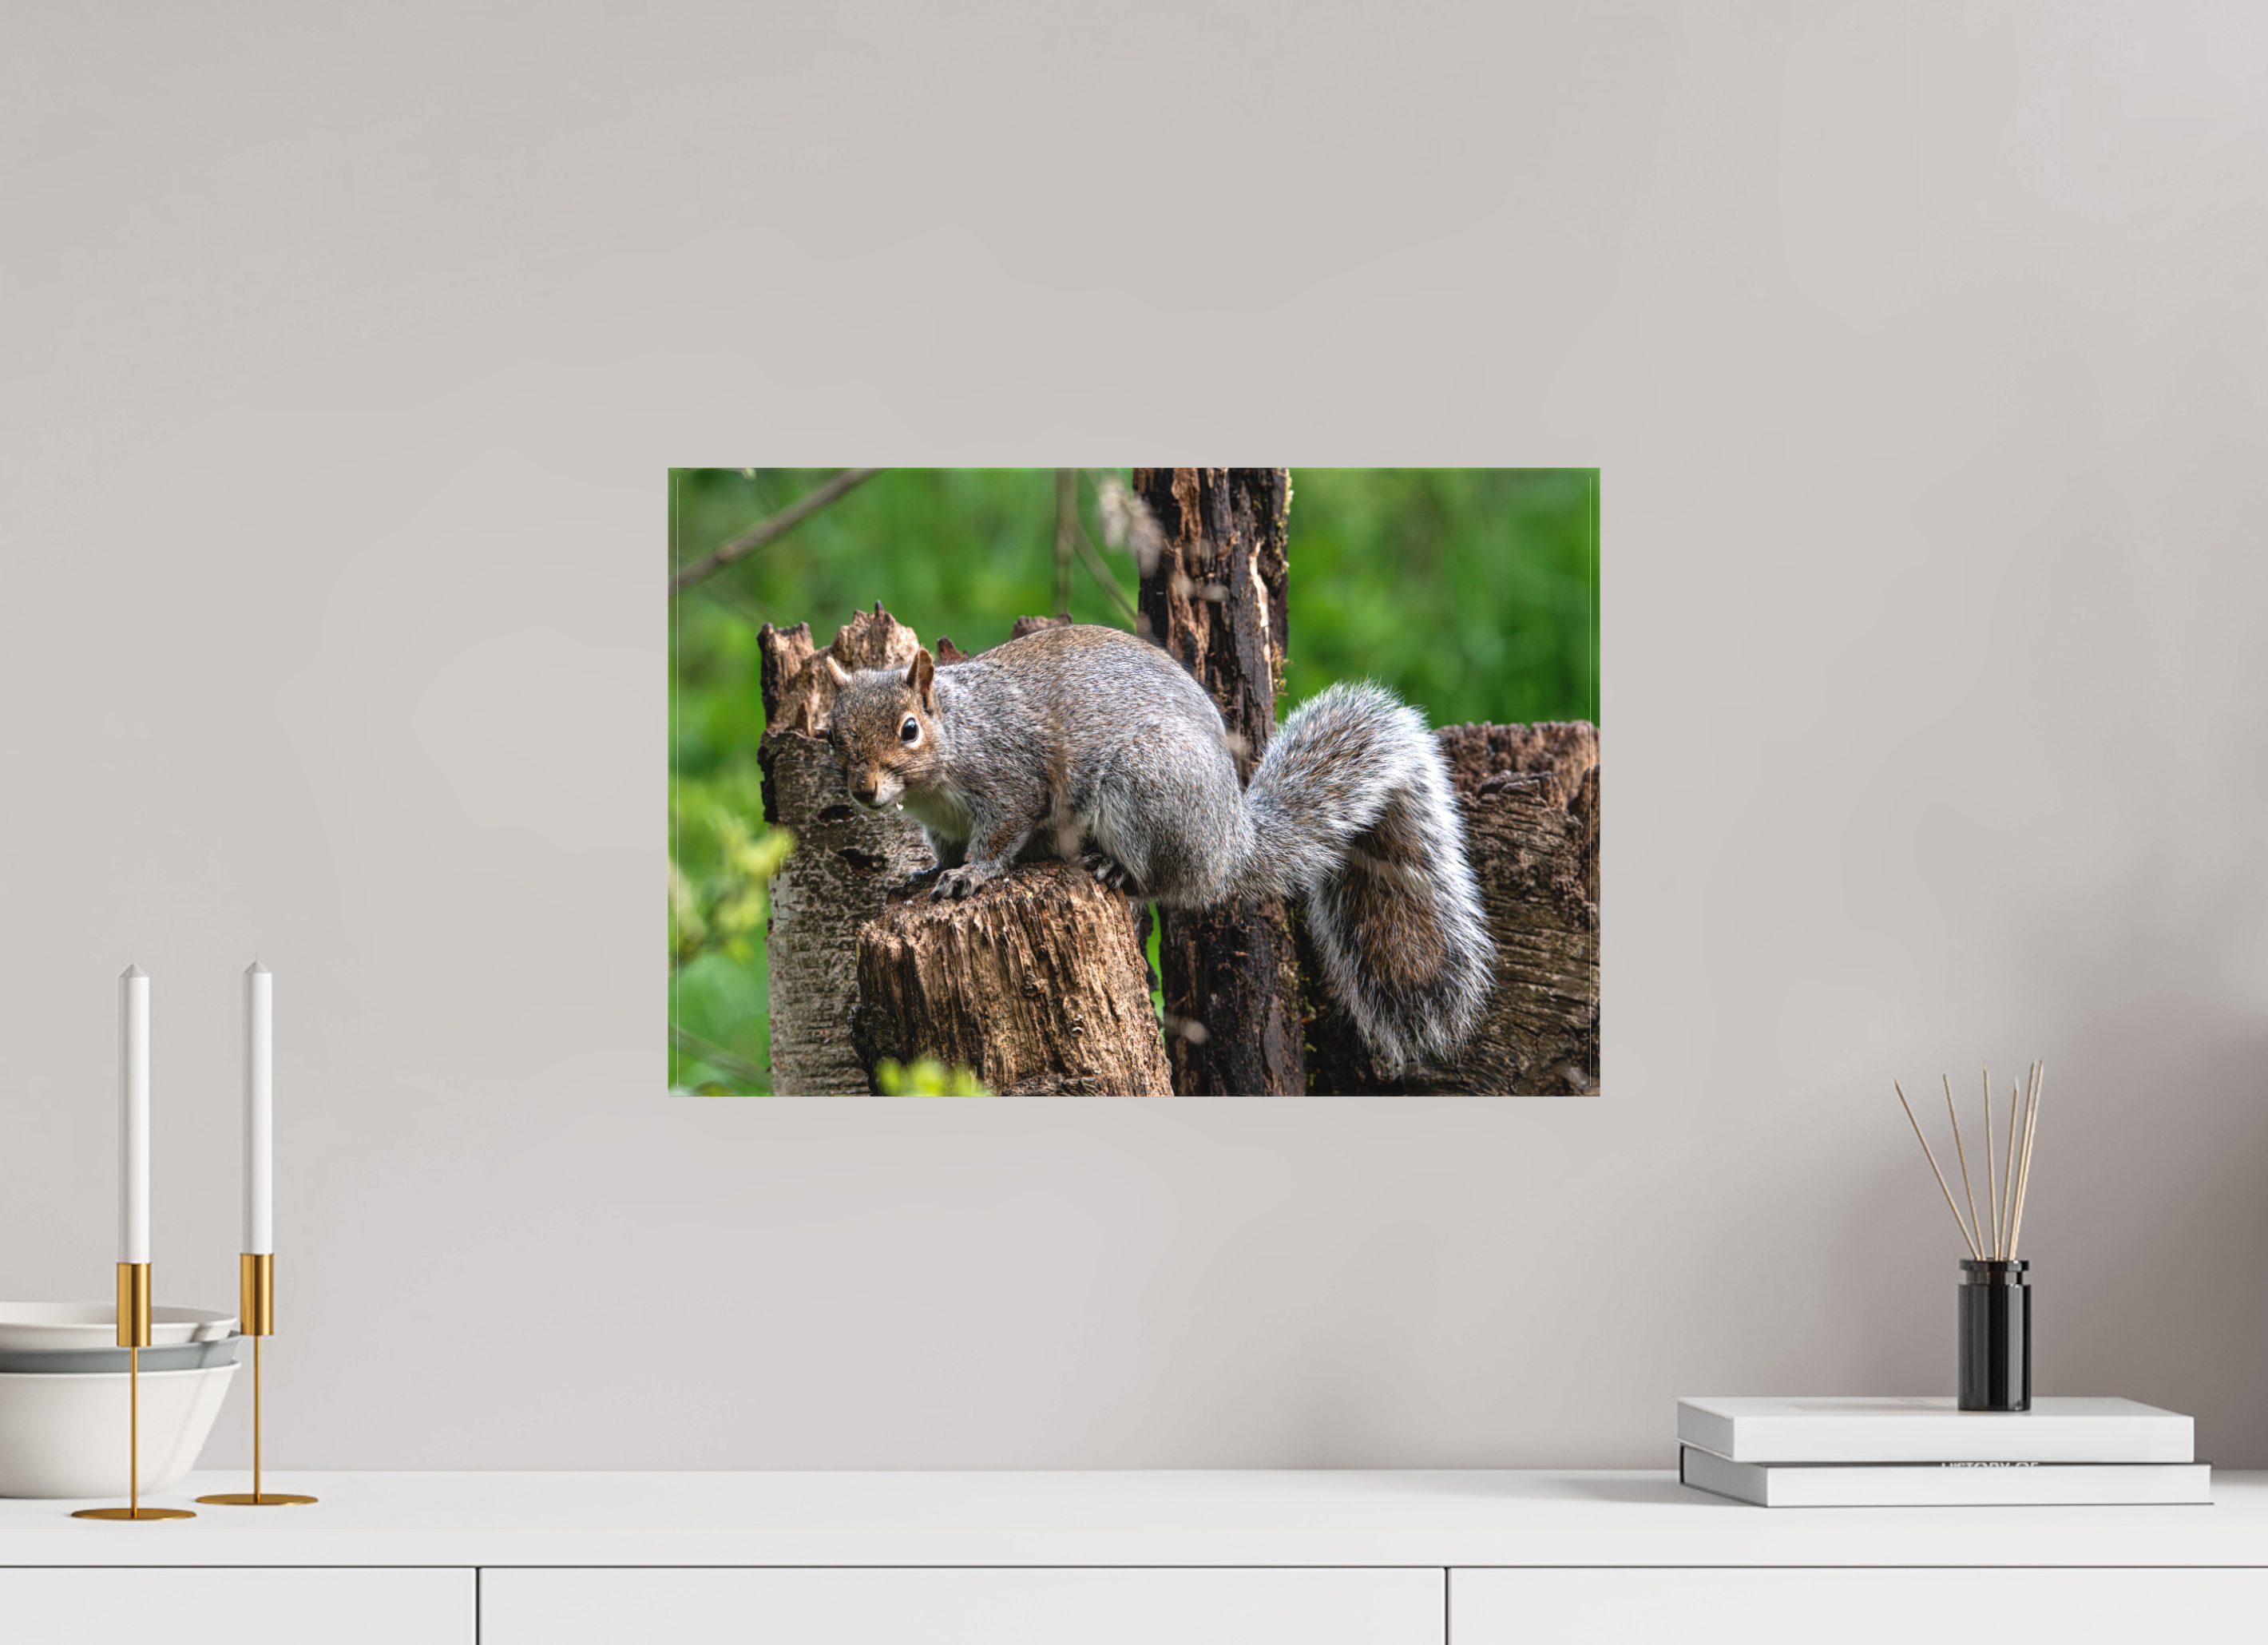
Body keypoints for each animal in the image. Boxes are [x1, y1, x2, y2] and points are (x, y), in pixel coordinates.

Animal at [824, 622, 1493, 1069]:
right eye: (831, 735)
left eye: (910, 729)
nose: (863, 790)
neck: (957, 737)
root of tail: (1230, 844)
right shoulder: (941, 826)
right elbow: (942, 852)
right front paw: (921, 877)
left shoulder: (1012, 783)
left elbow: (999, 838)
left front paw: (972, 876)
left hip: (1147, 787)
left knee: (1163, 880)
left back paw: (1116, 870)